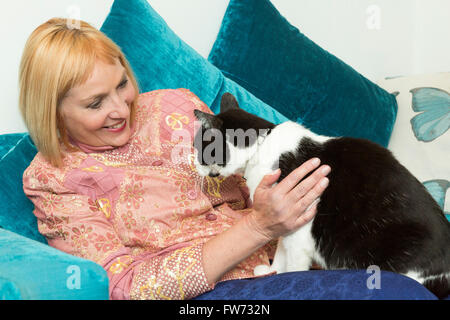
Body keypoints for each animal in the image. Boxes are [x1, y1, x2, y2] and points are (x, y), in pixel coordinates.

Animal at [193, 92, 450, 298]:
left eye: (199, 147)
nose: (193, 162)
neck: (261, 146)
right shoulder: (285, 220)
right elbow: (281, 251)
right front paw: (273, 271)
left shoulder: (299, 229)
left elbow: (293, 262)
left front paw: (286, 278)